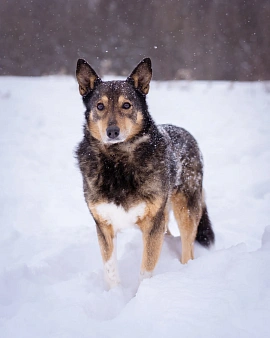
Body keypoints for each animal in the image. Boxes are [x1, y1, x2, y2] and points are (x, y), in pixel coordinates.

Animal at [75, 57, 214, 288]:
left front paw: (141, 294)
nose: (112, 132)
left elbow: (146, 270)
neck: (118, 162)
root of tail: (186, 133)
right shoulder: (104, 225)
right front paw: (115, 295)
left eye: (126, 105)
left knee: (188, 248)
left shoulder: (152, 225)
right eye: (100, 106)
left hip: (185, 210)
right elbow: (111, 270)